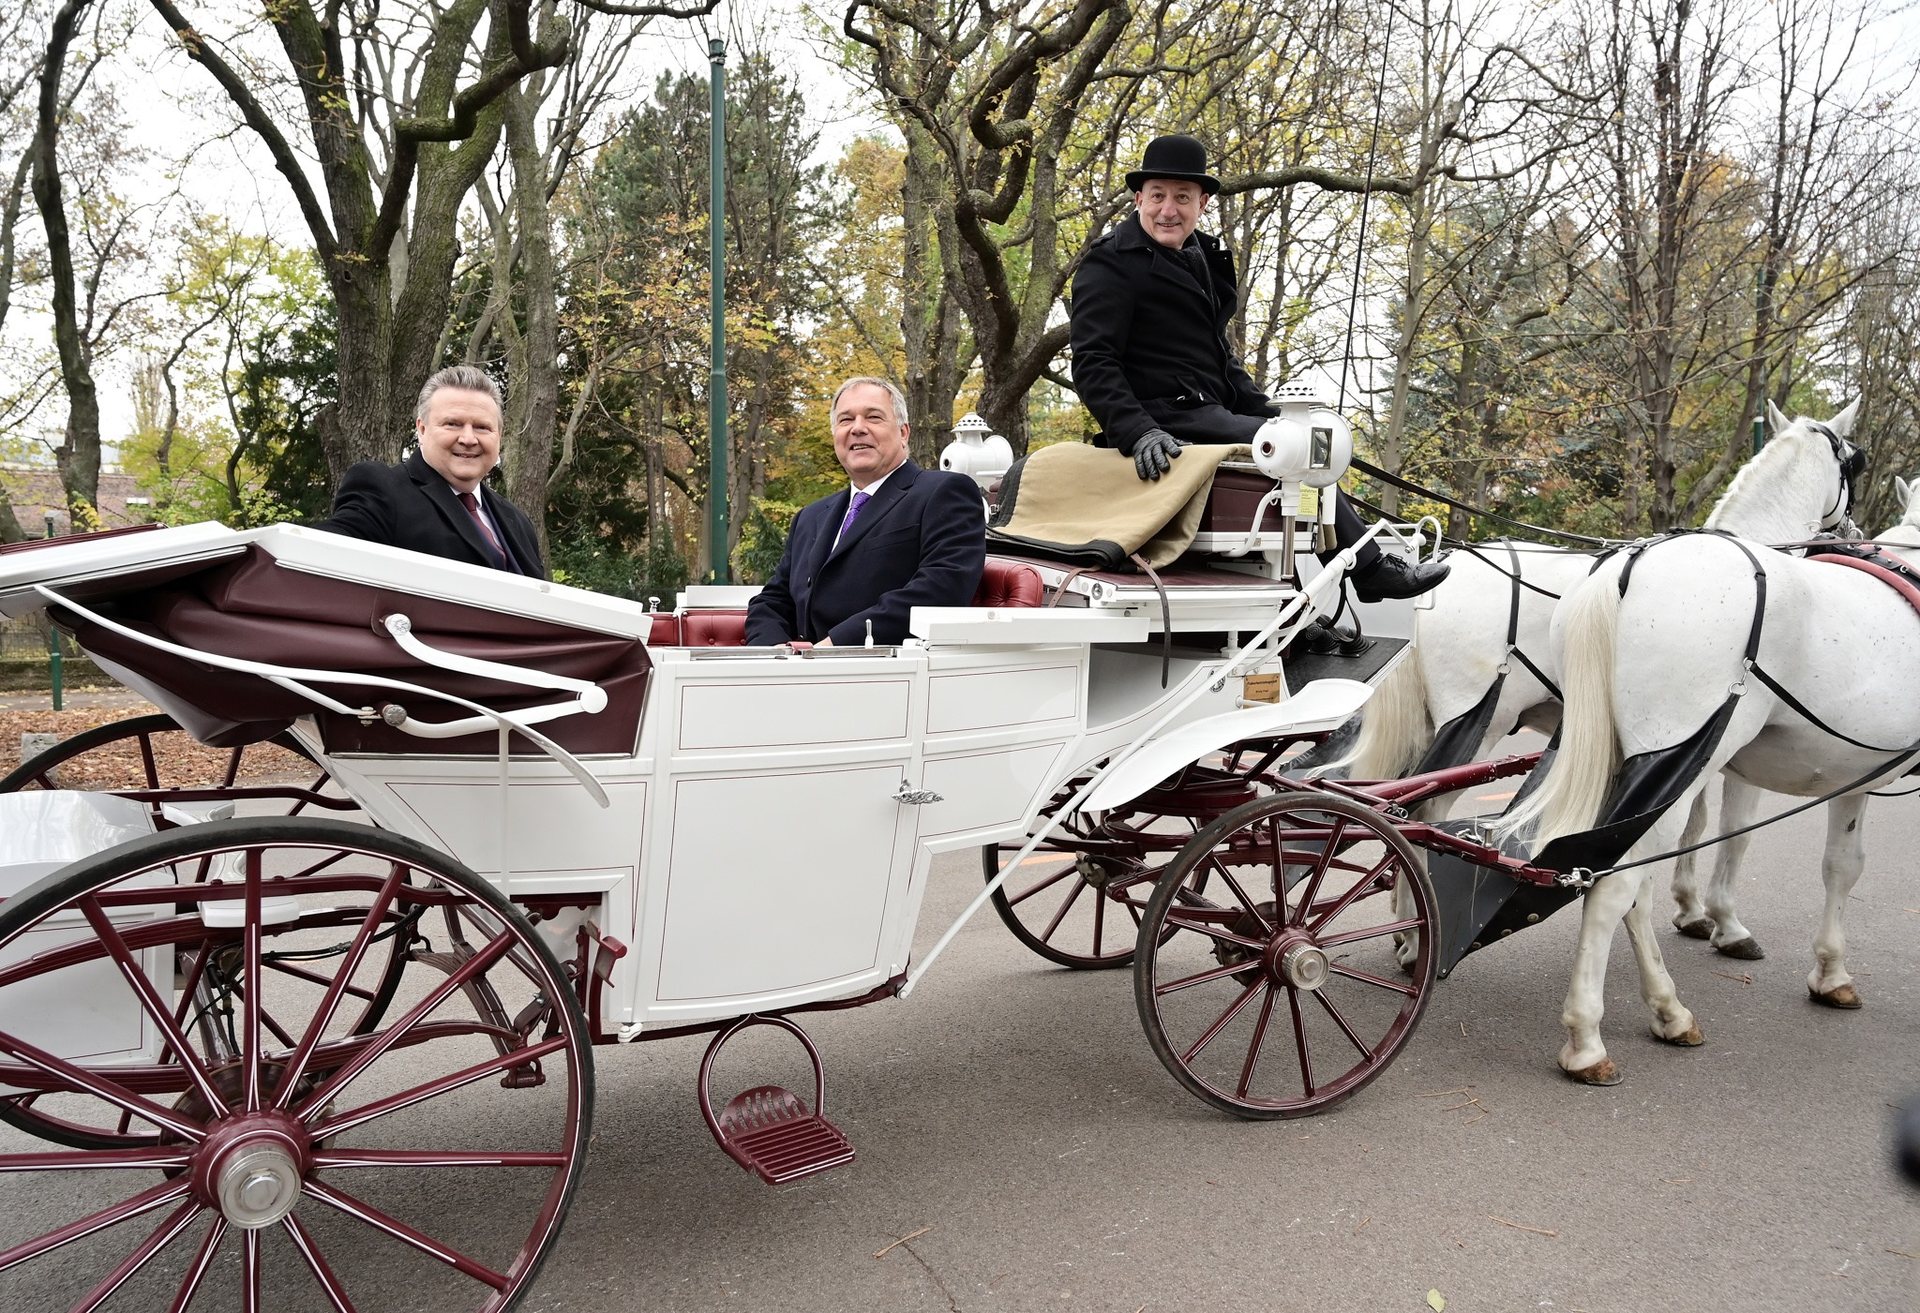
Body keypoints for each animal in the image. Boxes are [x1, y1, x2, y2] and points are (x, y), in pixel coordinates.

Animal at [1497, 405, 1904, 1082]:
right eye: (1856, 460)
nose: (1852, 533)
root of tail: (1629, 566)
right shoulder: (1836, 770)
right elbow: (1810, 857)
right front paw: (1814, 964)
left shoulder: (1729, 765)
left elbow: (1710, 836)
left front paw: (1705, 917)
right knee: (1613, 883)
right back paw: (1590, 1038)